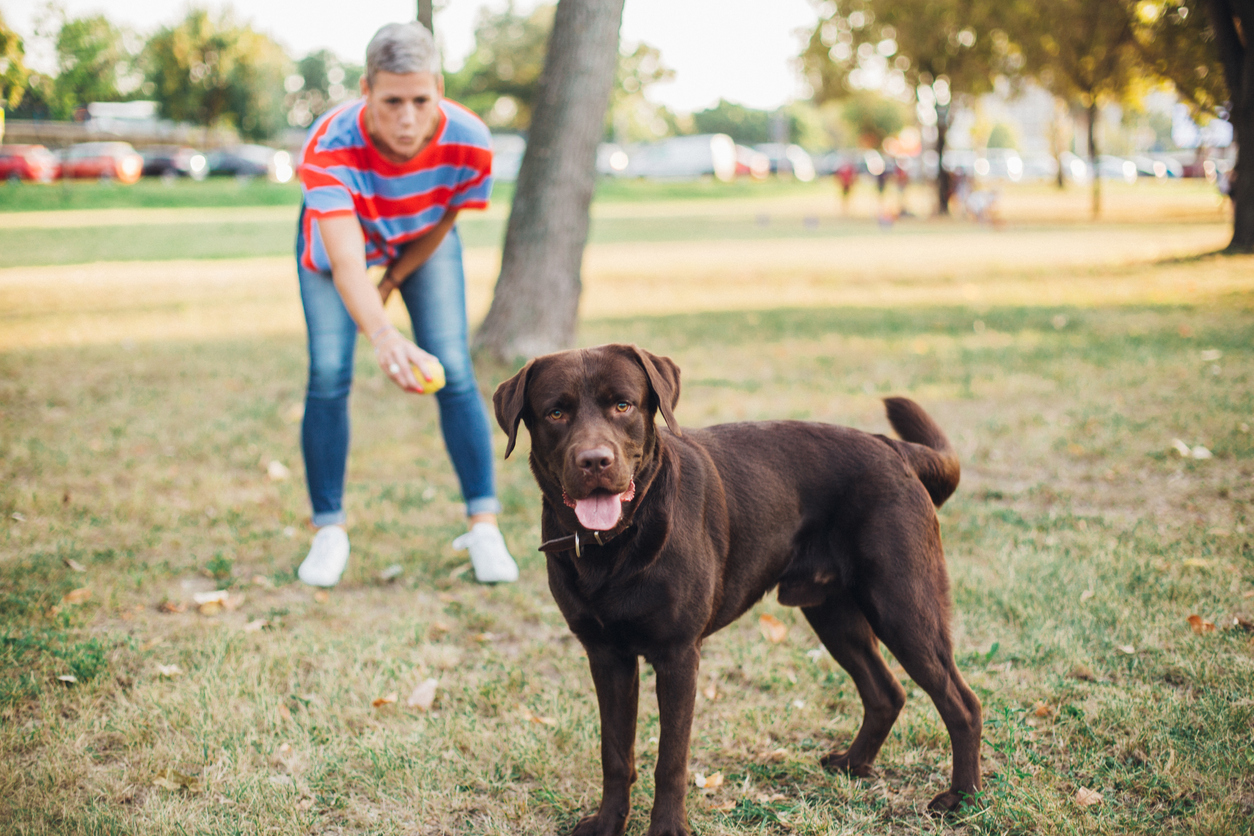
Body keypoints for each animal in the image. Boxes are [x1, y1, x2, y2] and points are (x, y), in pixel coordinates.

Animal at [494, 343, 983, 832]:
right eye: (556, 412)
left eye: (623, 405)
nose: (595, 460)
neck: (614, 546)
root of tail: (892, 447)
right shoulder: (606, 656)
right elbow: (614, 753)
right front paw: (608, 823)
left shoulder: (678, 655)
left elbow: (670, 759)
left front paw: (667, 827)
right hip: (833, 613)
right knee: (886, 692)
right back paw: (853, 764)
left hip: (903, 605)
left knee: (962, 702)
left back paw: (962, 798)